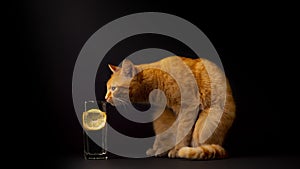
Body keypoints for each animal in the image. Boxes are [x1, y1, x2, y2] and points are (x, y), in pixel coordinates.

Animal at [104, 55, 236, 160]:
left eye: (113, 88)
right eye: (107, 88)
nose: (105, 98)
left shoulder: (188, 107)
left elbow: (182, 132)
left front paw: (177, 150)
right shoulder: (168, 113)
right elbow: (168, 134)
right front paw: (162, 149)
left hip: (203, 127)